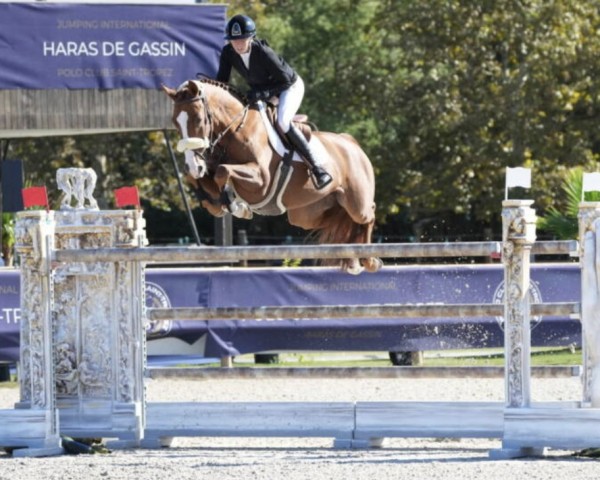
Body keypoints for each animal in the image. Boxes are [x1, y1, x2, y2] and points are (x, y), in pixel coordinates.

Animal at [162, 79, 382, 274]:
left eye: (198, 119)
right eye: (175, 123)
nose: (193, 165)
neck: (236, 129)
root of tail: (351, 143)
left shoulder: (262, 181)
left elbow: (223, 171)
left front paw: (237, 206)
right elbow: (203, 179)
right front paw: (223, 203)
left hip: (356, 203)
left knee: (368, 213)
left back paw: (370, 260)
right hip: (305, 214)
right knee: (337, 221)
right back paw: (353, 260)